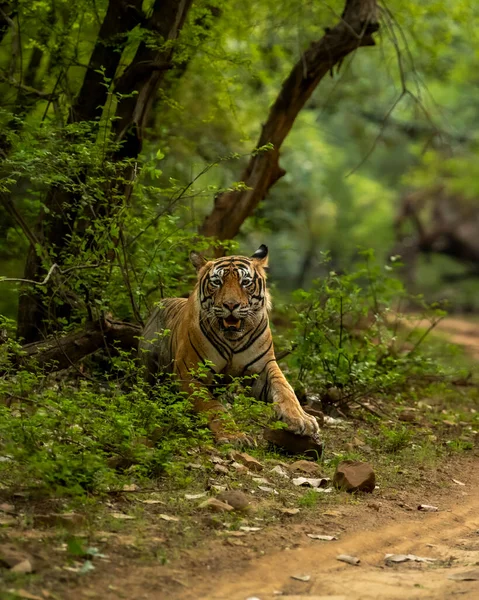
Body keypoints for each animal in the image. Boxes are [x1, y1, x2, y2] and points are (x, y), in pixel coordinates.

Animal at [139, 245, 320, 446]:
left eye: (245, 282)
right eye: (217, 282)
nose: (231, 305)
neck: (232, 339)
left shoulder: (264, 366)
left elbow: (284, 387)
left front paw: (301, 419)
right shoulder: (189, 374)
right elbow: (213, 407)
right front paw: (235, 436)